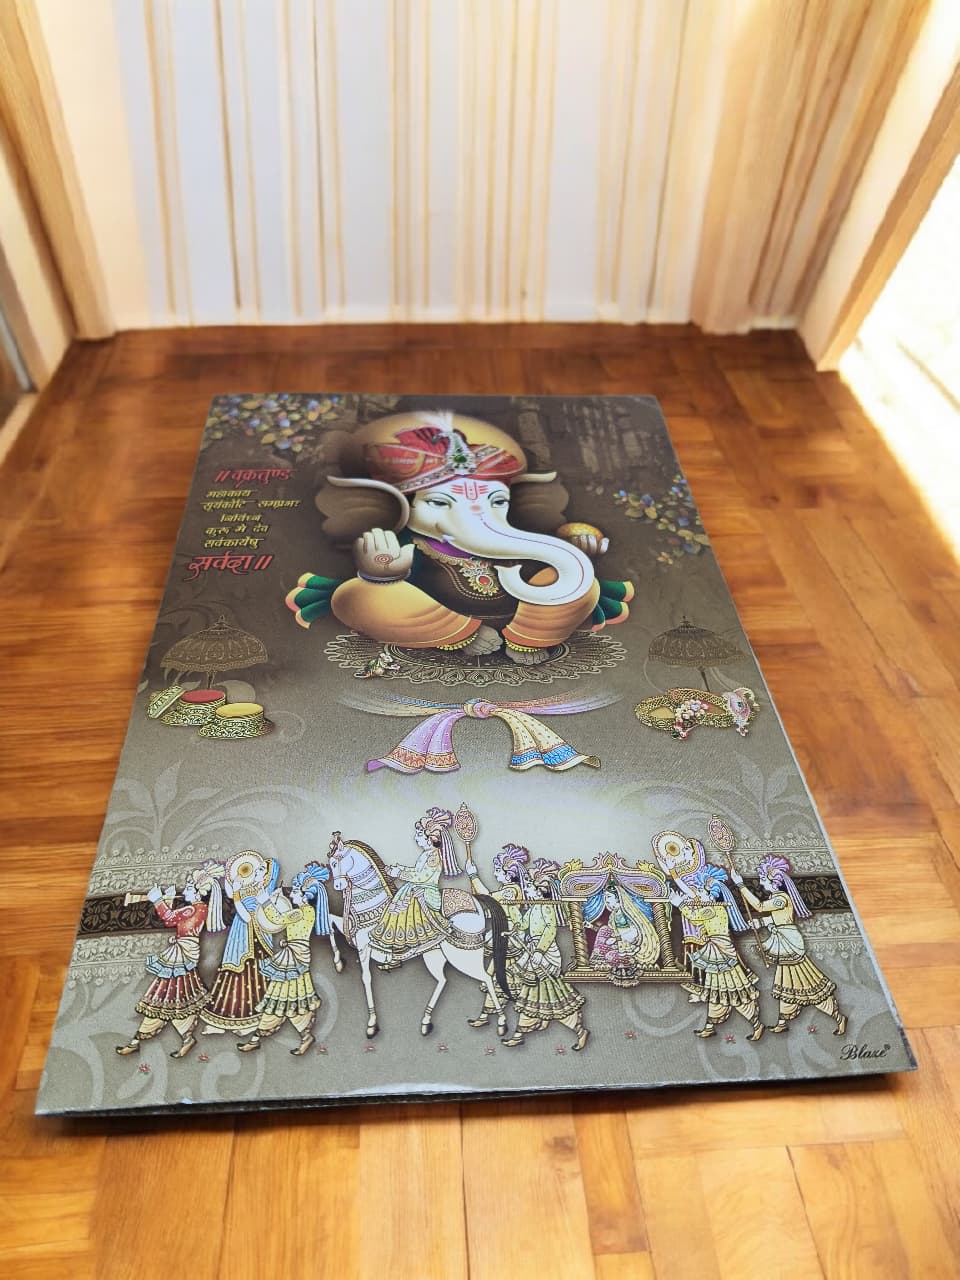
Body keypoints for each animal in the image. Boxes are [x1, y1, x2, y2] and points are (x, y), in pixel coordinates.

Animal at [326, 836, 512, 1039]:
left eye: (335, 863)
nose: (338, 886)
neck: (373, 907)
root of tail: (478, 902)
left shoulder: (363, 946)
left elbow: (366, 978)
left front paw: (372, 1023)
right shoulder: (354, 935)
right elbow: (330, 921)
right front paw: (338, 962)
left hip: (462, 956)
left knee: (486, 978)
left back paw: (502, 1022)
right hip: (434, 955)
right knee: (443, 980)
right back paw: (426, 1021)